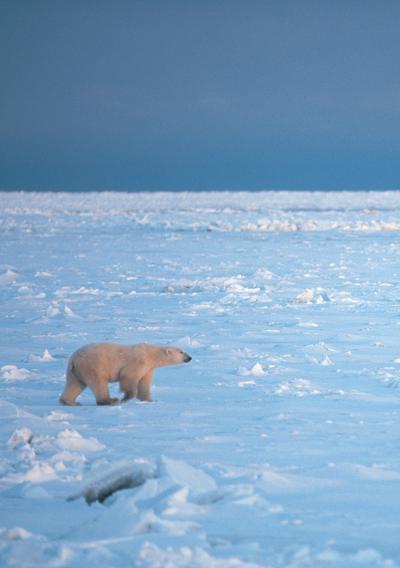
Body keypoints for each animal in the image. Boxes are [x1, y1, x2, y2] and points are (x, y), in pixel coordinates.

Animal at [58, 344, 191, 406]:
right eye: (181, 352)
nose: (189, 357)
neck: (150, 354)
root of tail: (74, 360)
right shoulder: (138, 362)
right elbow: (128, 378)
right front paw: (125, 398)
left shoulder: (148, 368)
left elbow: (144, 384)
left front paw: (150, 400)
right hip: (93, 365)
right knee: (99, 383)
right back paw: (110, 400)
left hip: (75, 371)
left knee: (74, 384)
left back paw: (70, 402)